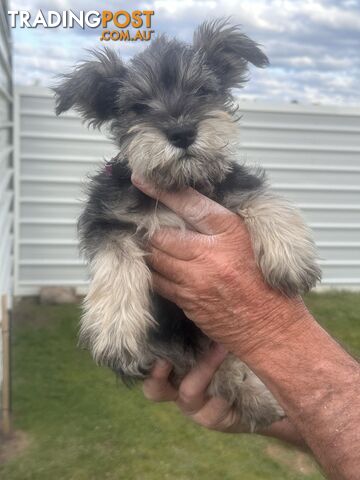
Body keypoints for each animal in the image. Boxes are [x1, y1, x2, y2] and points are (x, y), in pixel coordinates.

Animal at [54, 18, 320, 432]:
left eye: (201, 90)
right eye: (138, 106)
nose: (181, 133)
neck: (179, 185)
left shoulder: (229, 185)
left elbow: (263, 198)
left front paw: (290, 256)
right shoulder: (106, 218)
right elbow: (117, 260)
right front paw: (115, 329)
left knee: (227, 364)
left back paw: (257, 397)